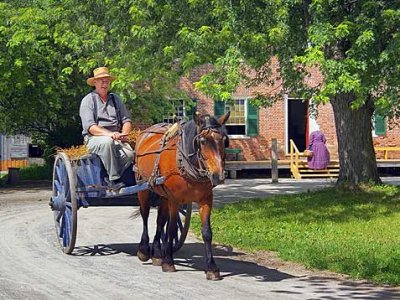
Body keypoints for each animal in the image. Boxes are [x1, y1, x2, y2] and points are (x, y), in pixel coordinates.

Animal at [134, 111, 230, 280]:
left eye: (224, 140)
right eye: (203, 141)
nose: (218, 176)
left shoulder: (206, 199)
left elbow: (207, 232)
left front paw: (212, 267)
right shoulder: (174, 199)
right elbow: (172, 229)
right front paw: (168, 262)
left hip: (162, 195)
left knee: (160, 221)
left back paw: (157, 253)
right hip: (143, 187)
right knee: (145, 215)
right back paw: (144, 250)